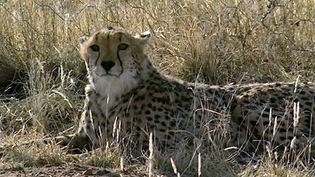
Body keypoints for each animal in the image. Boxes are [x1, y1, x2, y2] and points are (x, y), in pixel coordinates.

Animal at [65, 27, 315, 158]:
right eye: (94, 47)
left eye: (123, 46)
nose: (107, 64)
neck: (111, 91)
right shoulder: (86, 132)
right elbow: (68, 140)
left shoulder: (170, 143)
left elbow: (121, 142)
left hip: (246, 100)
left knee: (302, 145)